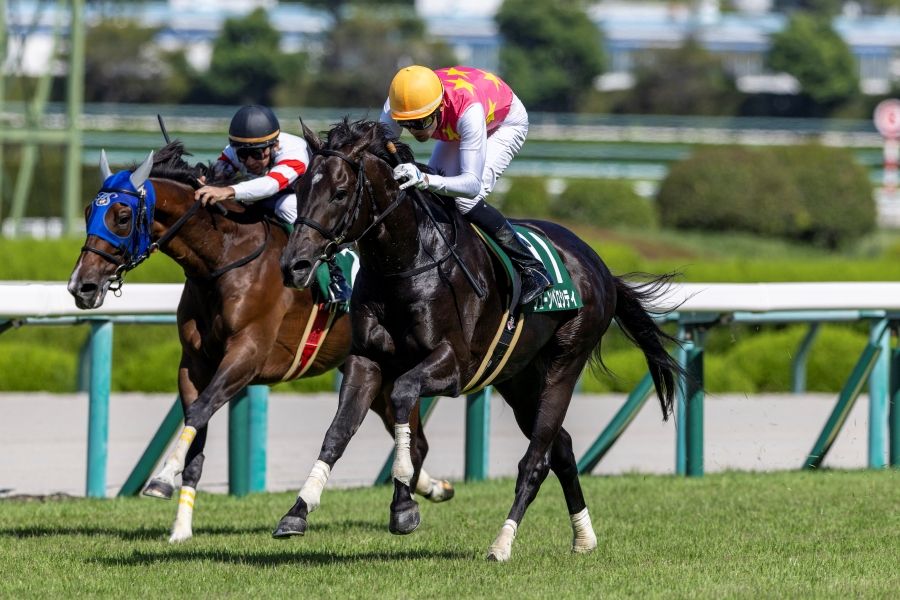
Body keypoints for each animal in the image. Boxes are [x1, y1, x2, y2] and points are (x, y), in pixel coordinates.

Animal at [67, 142, 454, 543]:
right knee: (416, 439)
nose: (81, 286)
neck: (224, 260)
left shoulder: (247, 355)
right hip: (376, 375)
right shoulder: (194, 363)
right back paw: (432, 487)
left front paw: (161, 477)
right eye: (88, 212)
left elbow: (200, 411)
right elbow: (196, 432)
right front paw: (180, 527)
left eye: (122, 216)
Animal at [273, 118, 683, 561]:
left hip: (566, 360)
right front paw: (297, 511)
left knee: (536, 460)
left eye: (340, 192)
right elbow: (338, 432)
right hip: (518, 378)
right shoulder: (366, 361)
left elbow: (402, 395)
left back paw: (502, 542)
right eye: (299, 190)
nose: (294, 265)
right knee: (562, 448)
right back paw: (583, 537)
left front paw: (404, 506)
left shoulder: (454, 365)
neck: (409, 262)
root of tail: (600, 266)